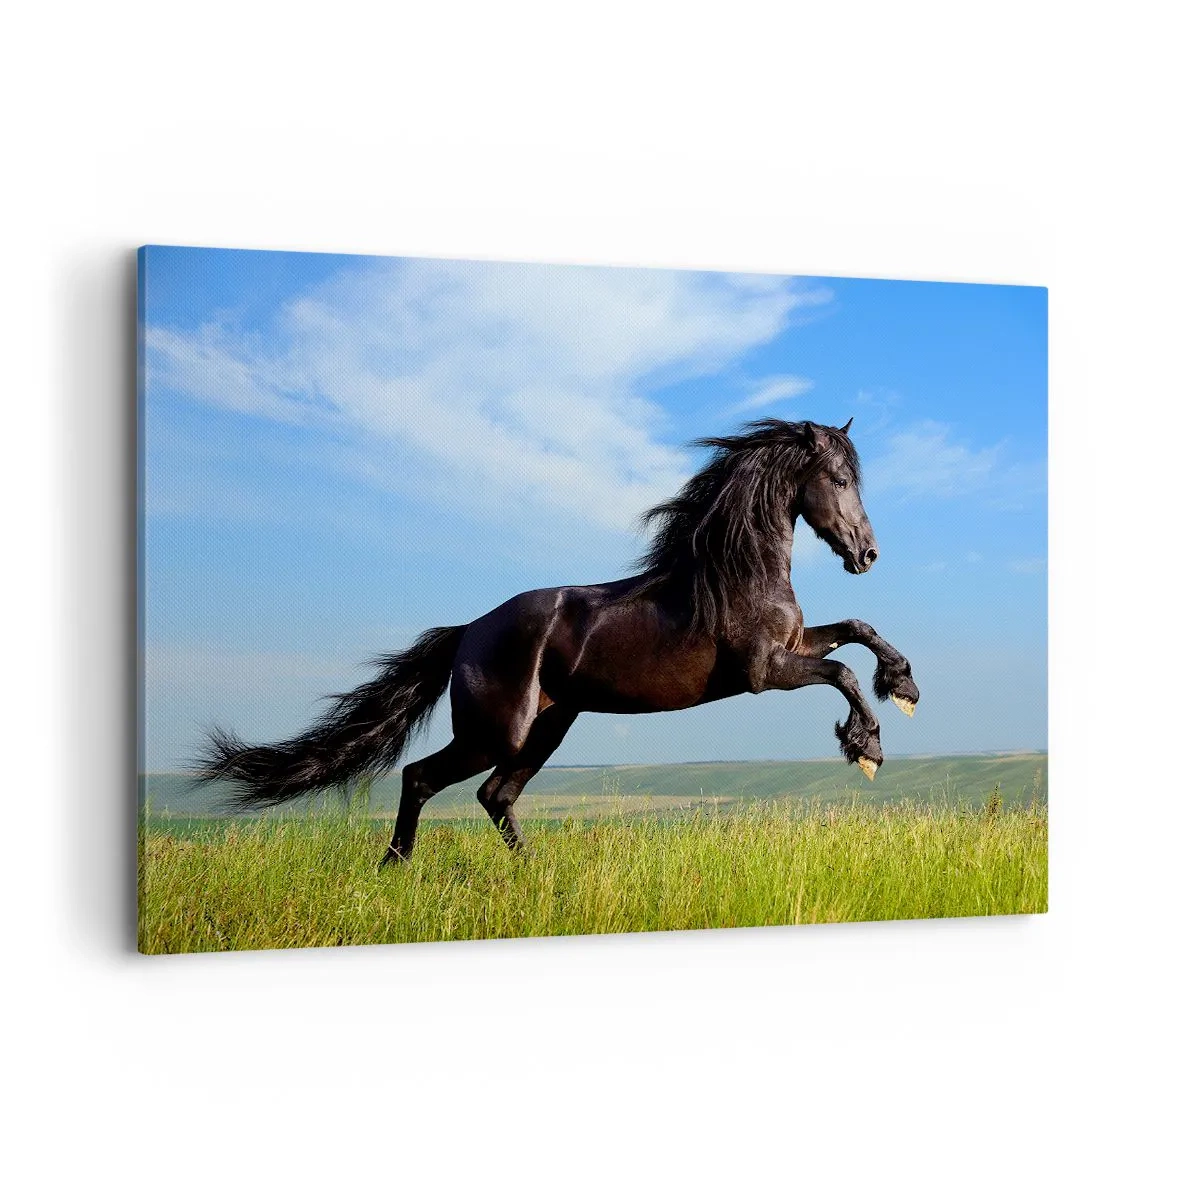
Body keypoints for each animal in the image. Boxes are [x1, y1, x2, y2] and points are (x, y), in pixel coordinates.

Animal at [197, 417, 920, 864]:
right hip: (496, 732)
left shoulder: (796, 644)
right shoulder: (764, 671)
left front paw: (904, 685)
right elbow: (842, 674)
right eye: (839, 480)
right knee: (422, 777)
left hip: (548, 726)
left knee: (495, 796)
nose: (868, 554)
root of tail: (468, 633)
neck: (736, 571)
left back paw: (532, 871)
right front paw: (867, 747)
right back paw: (394, 868)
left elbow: (857, 632)